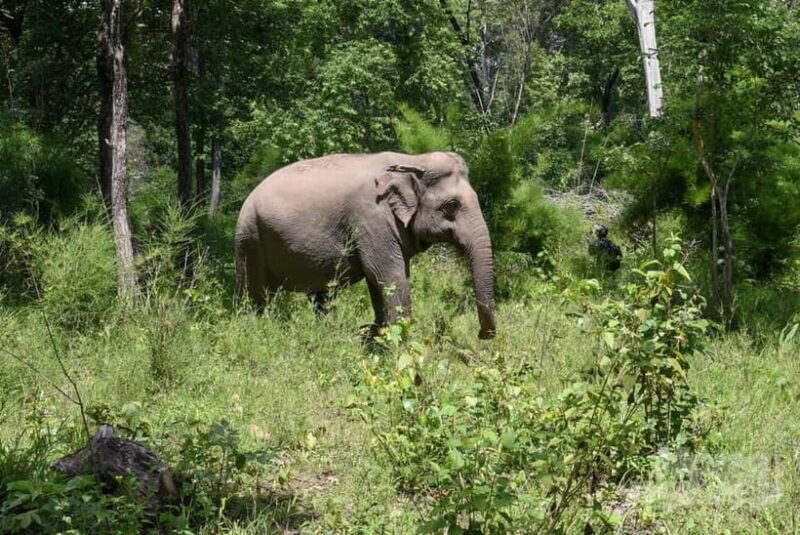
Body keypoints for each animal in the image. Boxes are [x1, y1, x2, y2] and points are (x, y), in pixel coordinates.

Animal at [234, 151, 496, 340]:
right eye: (451, 205)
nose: (482, 335)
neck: (412, 160)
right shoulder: (372, 218)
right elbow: (389, 275)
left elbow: (380, 280)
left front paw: (375, 335)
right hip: (250, 239)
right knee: (255, 296)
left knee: (321, 296)